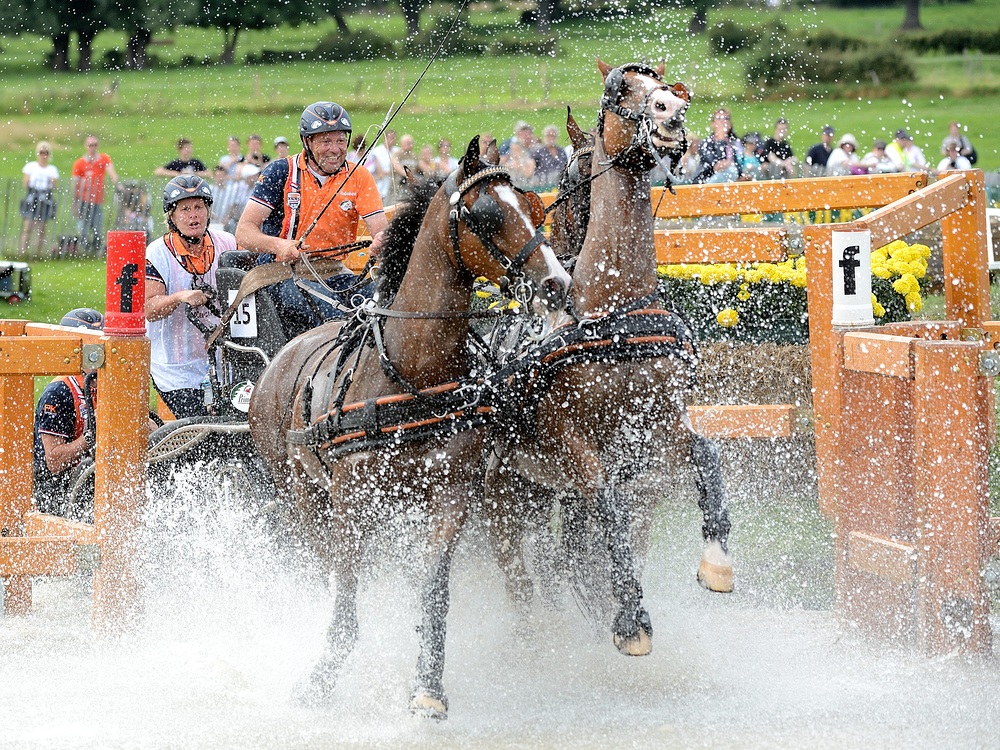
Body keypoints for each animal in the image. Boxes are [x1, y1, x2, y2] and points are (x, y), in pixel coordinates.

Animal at [249, 138, 572, 720]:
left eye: (534, 209)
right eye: (487, 215)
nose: (557, 285)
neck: (413, 370)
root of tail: (277, 361)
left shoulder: (452, 493)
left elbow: (433, 585)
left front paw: (428, 685)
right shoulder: (351, 499)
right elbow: (346, 591)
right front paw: (323, 675)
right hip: (301, 498)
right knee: (322, 566)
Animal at [482, 61, 728, 656]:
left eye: (666, 85)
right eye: (622, 89)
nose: (671, 111)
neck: (614, 307)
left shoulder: (660, 426)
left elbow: (706, 455)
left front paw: (716, 561)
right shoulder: (575, 448)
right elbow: (606, 507)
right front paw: (629, 618)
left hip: (536, 492)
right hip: (503, 502)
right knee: (520, 575)